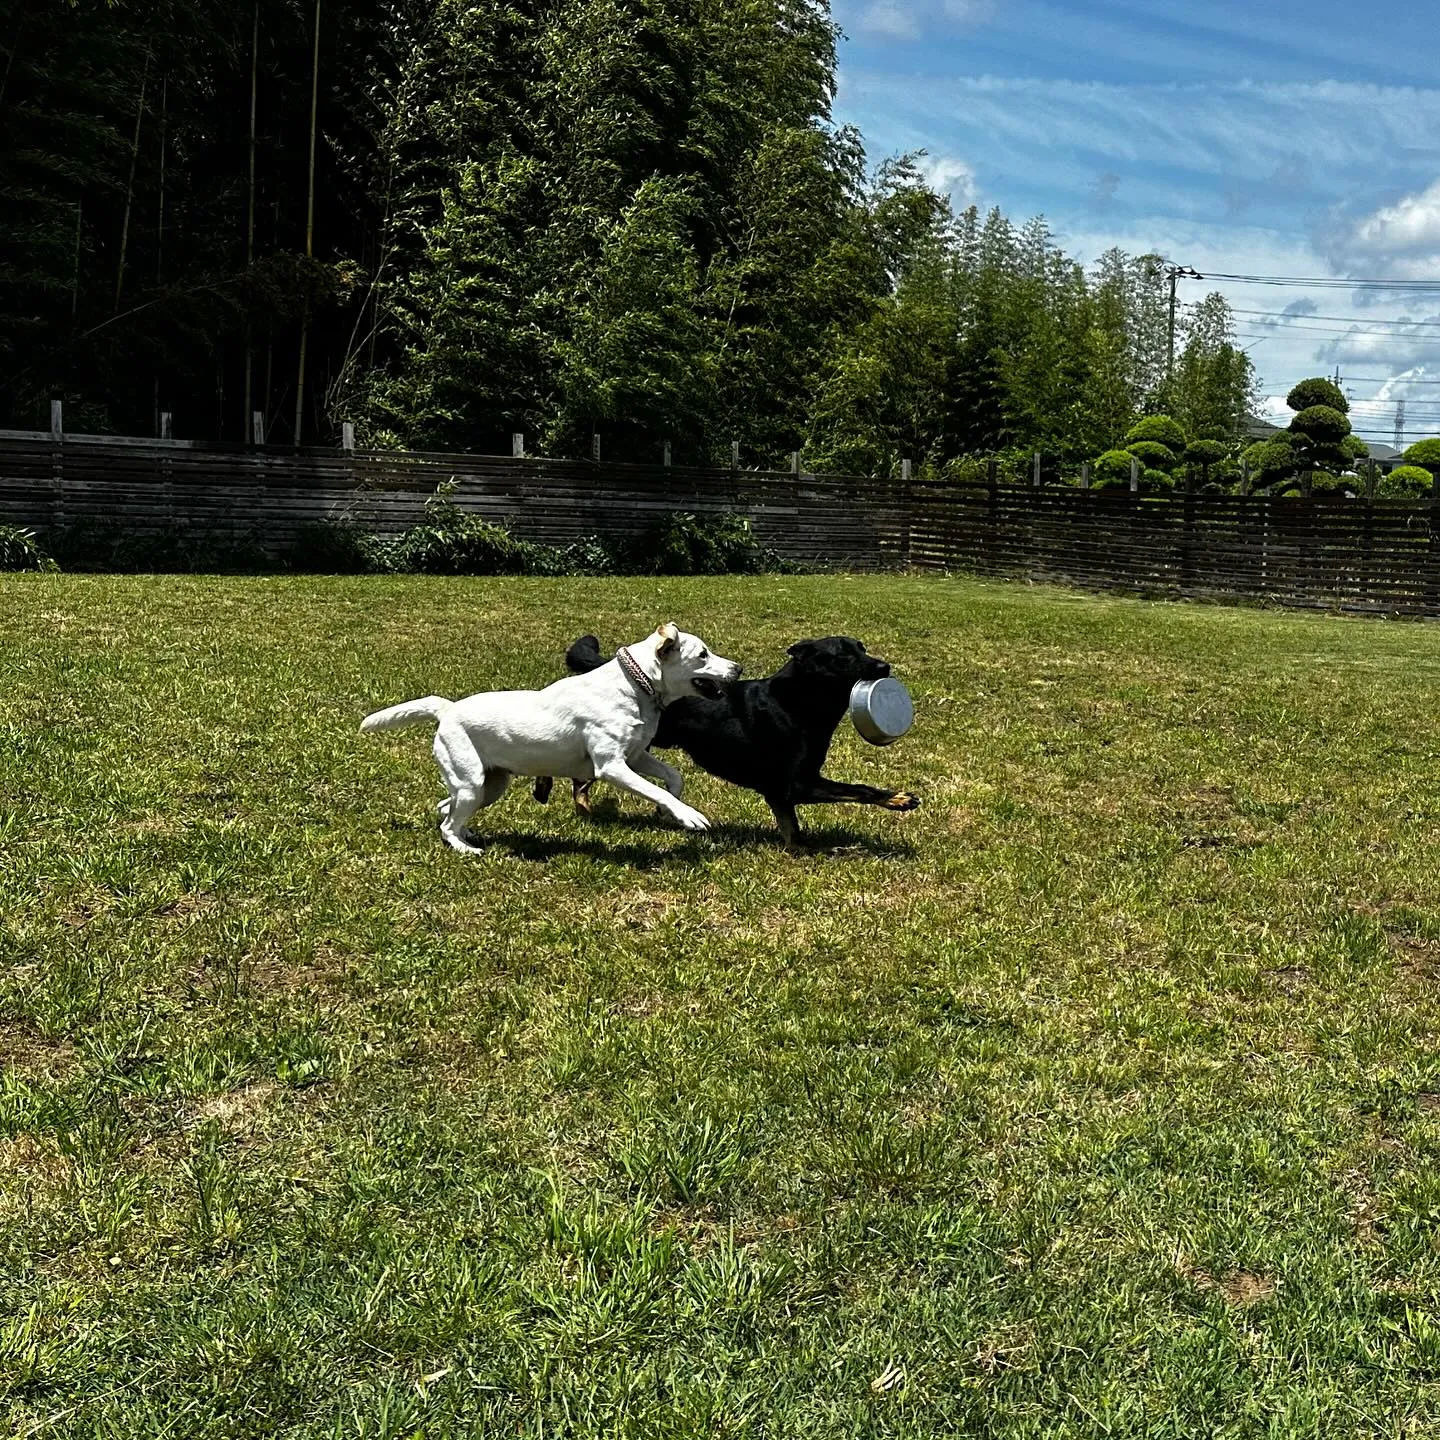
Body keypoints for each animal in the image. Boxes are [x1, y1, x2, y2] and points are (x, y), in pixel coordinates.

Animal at [360, 622, 743, 846]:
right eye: (703, 654)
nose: (739, 668)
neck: (635, 687)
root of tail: (447, 709)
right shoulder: (612, 767)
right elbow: (656, 789)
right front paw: (688, 815)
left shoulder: (634, 756)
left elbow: (673, 777)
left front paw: (671, 809)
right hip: (471, 783)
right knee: (447, 826)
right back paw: (465, 846)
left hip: (489, 785)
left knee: (447, 808)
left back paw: (466, 830)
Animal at [535, 633, 915, 840]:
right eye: (843, 655)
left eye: (862, 647)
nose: (884, 667)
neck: (796, 702)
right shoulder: (795, 784)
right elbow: (858, 789)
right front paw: (897, 799)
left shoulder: (782, 794)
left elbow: (791, 830)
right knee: (577, 773)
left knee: (579, 775)